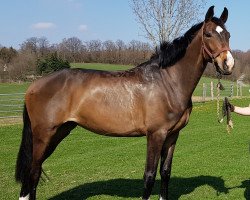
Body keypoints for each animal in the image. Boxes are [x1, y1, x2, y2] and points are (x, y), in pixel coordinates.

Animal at [15, 6, 234, 200]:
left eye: (228, 35)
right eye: (208, 34)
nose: (228, 64)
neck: (167, 81)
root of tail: (34, 85)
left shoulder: (172, 135)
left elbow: (165, 173)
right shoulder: (156, 135)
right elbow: (149, 176)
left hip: (58, 132)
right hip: (44, 135)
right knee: (32, 173)